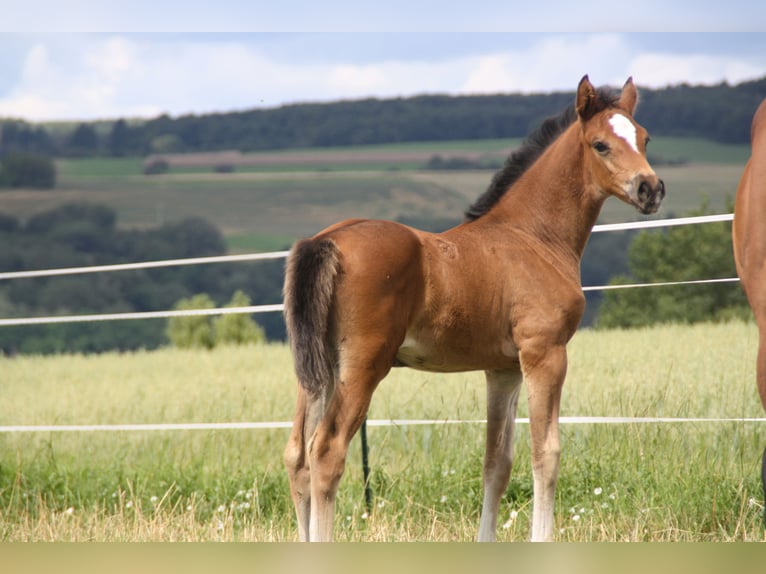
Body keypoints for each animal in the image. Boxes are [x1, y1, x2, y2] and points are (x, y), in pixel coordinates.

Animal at [282, 74, 664, 544]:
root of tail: (327, 241)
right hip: (362, 366)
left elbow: (496, 463)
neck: (533, 236)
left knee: (297, 455)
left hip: (316, 370)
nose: (650, 189)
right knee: (326, 451)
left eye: (644, 138)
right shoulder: (545, 354)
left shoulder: (503, 370)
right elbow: (546, 452)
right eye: (600, 144)